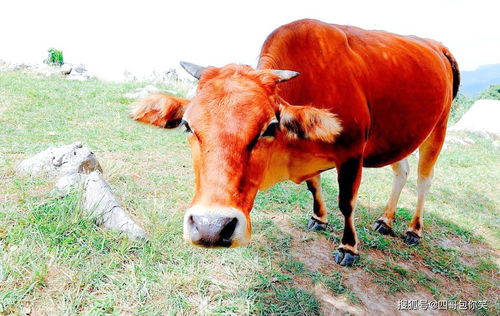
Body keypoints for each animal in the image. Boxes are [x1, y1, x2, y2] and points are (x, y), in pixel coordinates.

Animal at [131, 19, 458, 266]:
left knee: (424, 179)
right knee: (401, 172)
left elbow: (347, 202)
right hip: (401, 135)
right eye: (187, 125)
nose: (211, 227)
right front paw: (319, 218)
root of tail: (437, 45)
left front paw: (348, 247)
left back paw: (413, 230)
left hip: (438, 128)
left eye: (270, 127)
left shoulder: (352, 153)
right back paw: (386, 220)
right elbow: (314, 186)